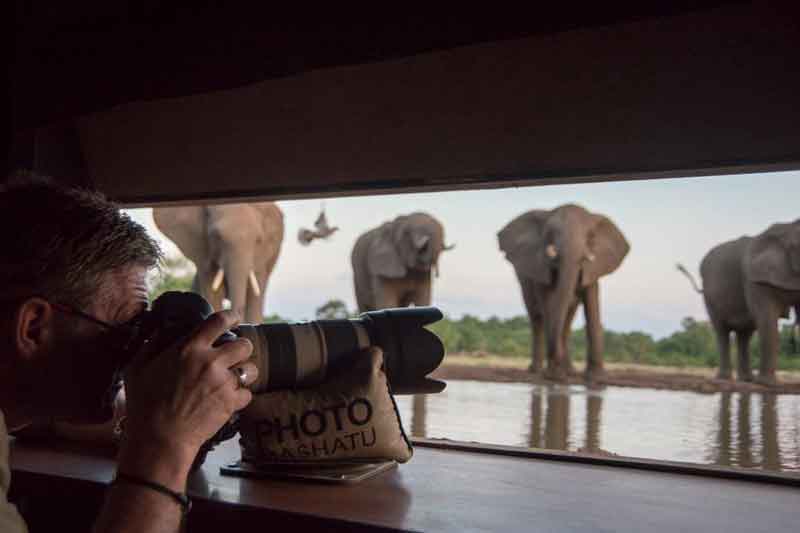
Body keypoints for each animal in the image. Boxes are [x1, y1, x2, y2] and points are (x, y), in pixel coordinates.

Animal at [496, 204, 628, 382]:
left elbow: (591, 305)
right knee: (537, 317)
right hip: (523, 280)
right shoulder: (539, 265)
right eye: (550, 233)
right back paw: (538, 370)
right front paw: (554, 375)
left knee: (567, 319)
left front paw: (596, 378)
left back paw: (569, 371)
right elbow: (548, 305)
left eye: (590, 235)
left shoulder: (594, 267)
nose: (555, 373)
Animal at [680, 218, 800, 384]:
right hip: (710, 297)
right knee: (722, 331)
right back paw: (726, 378)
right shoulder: (754, 278)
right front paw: (767, 384)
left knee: (745, 334)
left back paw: (746, 379)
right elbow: (767, 319)